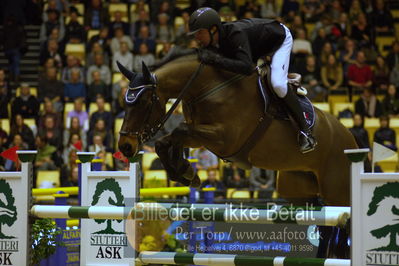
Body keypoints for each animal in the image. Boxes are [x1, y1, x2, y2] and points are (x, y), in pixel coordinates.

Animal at [117, 54, 358, 207]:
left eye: (143, 102)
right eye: (125, 102)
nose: (125, 147)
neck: (208, 88)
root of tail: (351, 139)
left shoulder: (226, 139)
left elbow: (180, 130)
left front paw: (185, 170)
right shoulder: (200, 137)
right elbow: (167, 140)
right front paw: (186, 172)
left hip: (338, 191)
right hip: (298, 190)